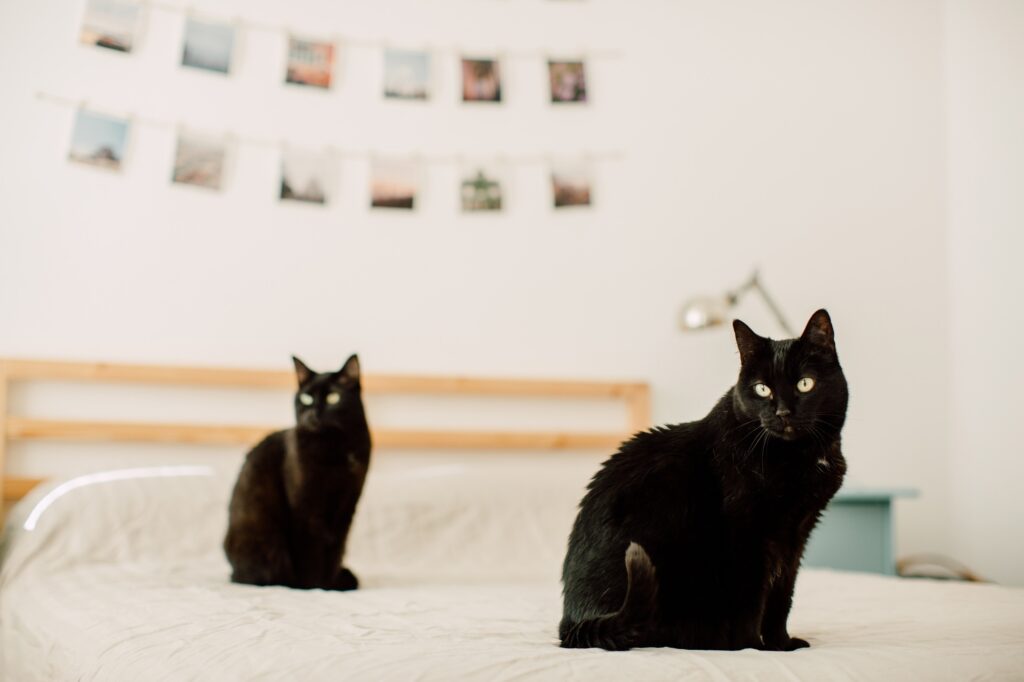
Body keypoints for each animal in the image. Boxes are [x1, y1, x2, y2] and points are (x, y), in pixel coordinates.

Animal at [224, 352, 372, 585]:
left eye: (333, 398)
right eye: (306, 398)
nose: (313, 413)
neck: (335, 447)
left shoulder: (347, 505)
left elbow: (336, 548)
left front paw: (330, 584)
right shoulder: (304, 505)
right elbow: (309, 550)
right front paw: (314, 586)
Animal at [561, 307, 847, 647]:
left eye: (805, 384)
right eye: (762, 388)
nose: (783, 413)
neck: (798, 456)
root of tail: (571, 622)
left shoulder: (796, 533)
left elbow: (782, 596)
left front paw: (781, 645)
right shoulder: (747, 533)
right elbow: (751, 601)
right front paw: (752, 648)